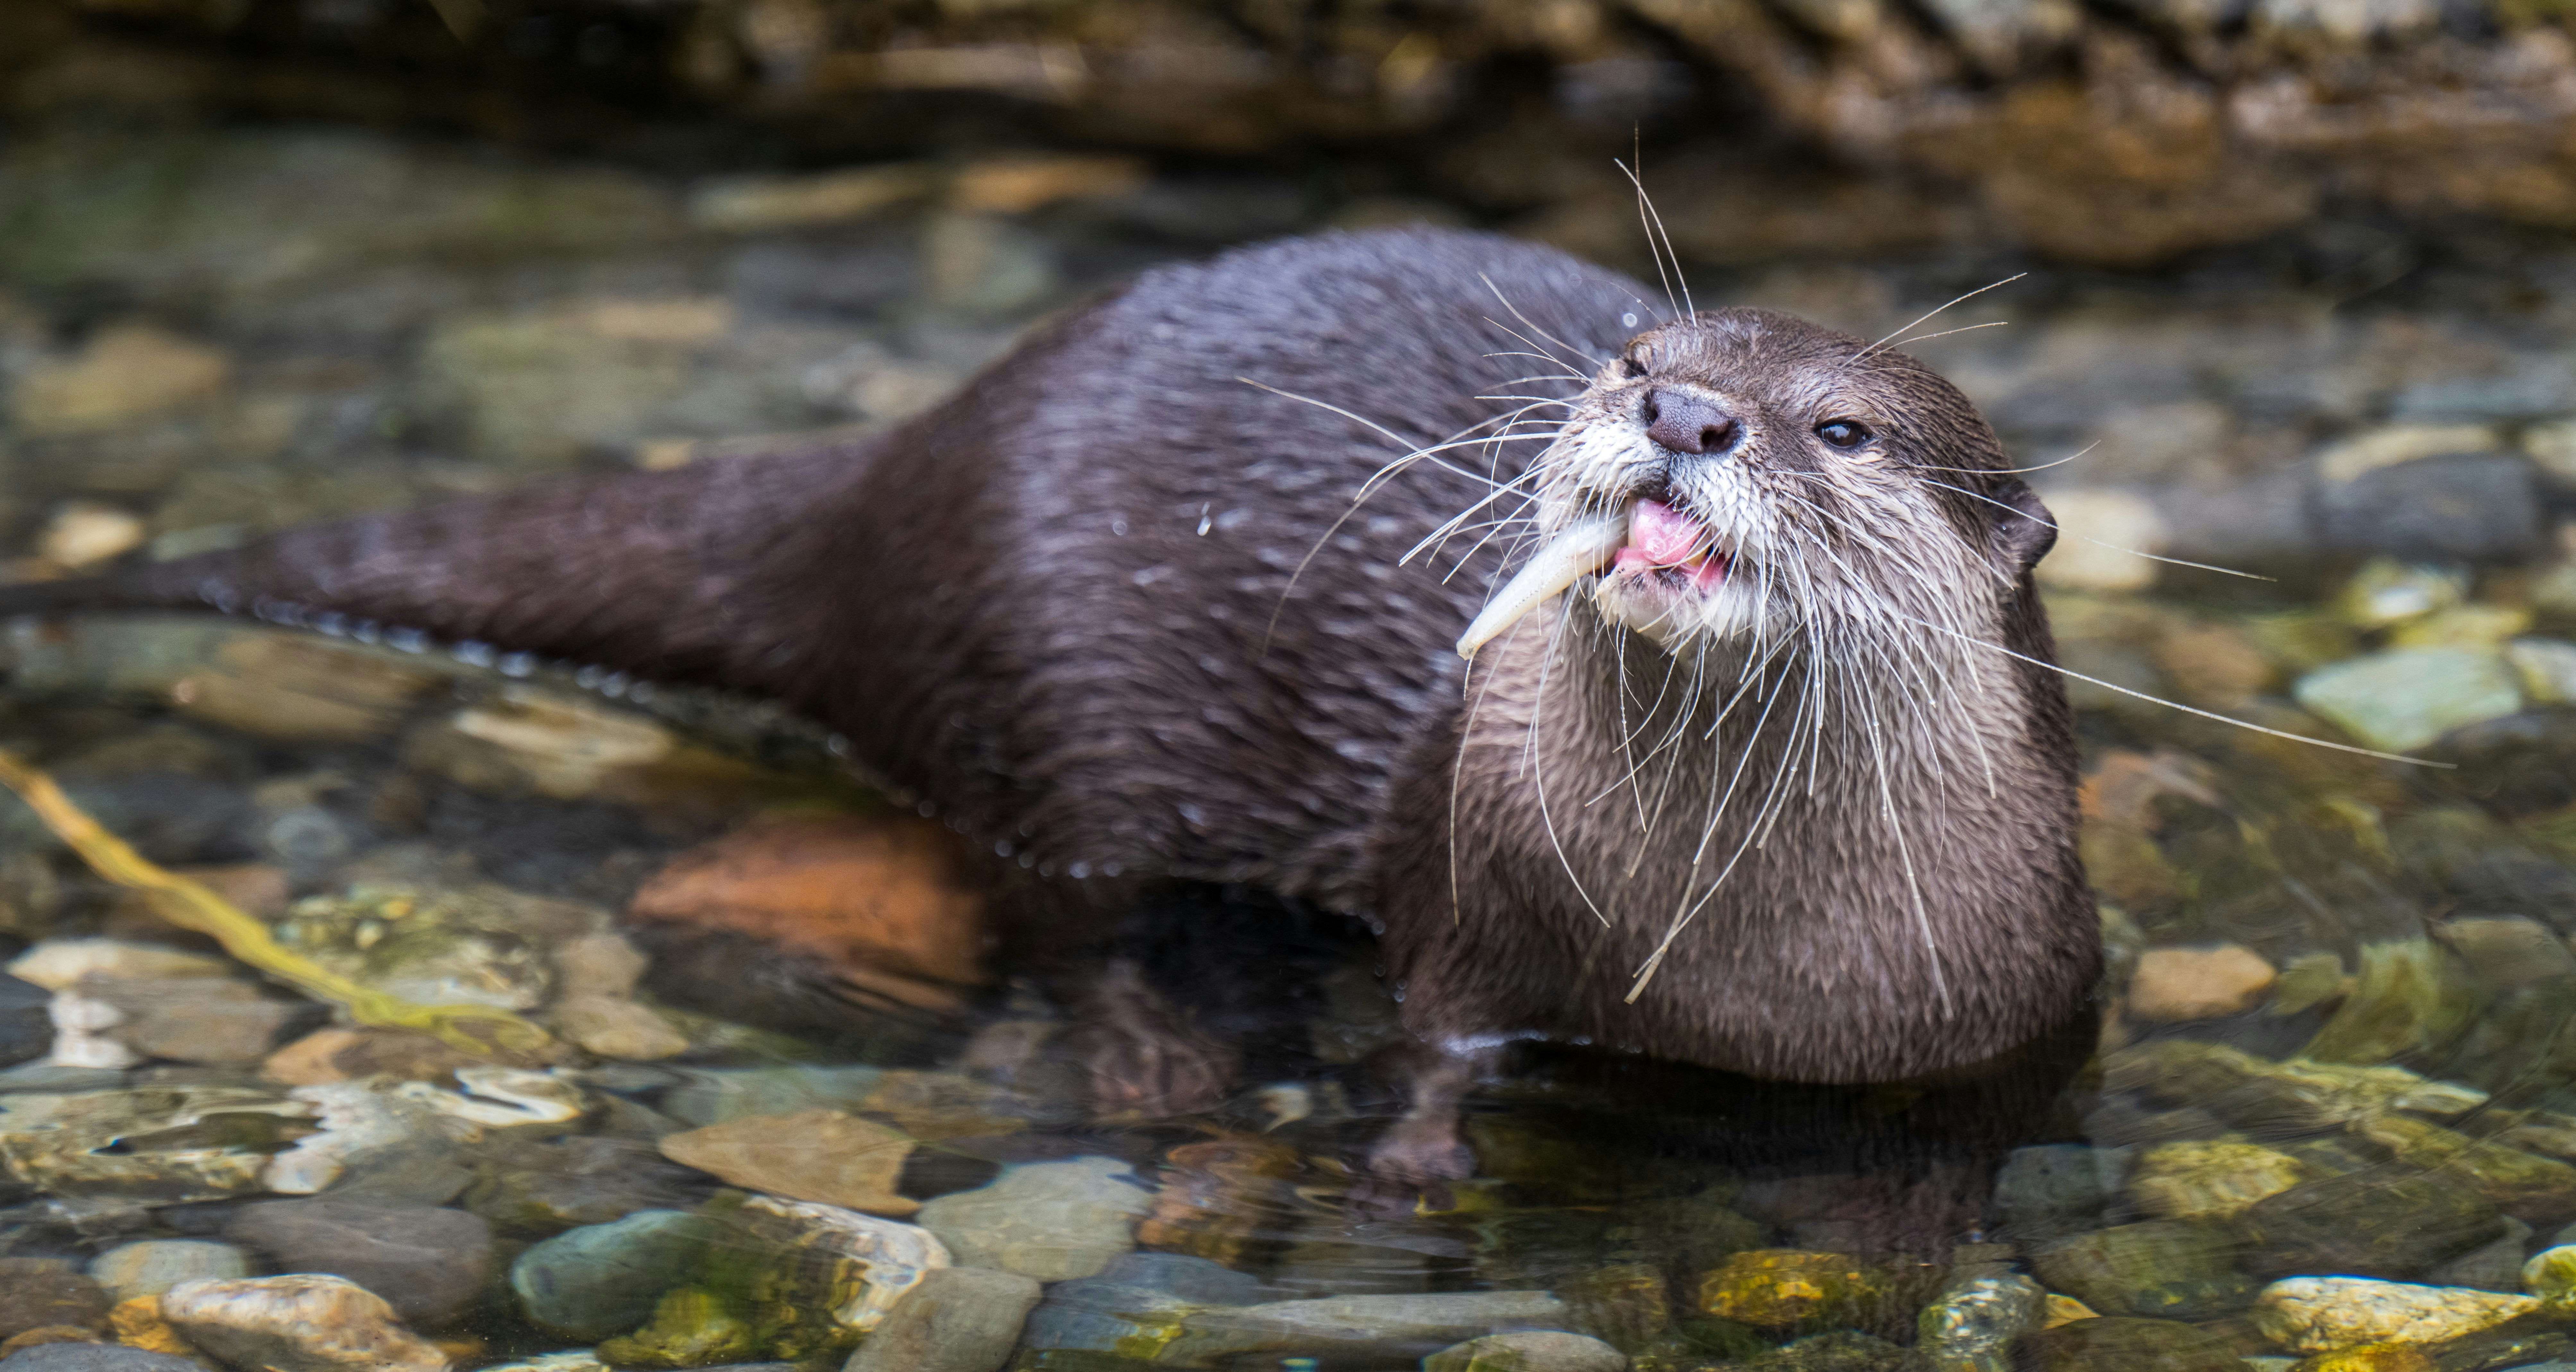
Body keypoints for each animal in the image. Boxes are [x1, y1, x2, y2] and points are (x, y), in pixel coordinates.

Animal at [0, 229, 2098, 1200]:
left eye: (1840, 426)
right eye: (1632, 352)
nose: (1681, 409)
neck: (1725, 965)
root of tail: (906, 467)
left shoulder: (2009, 1014)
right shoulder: (1462, 888)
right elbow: (1431, 1036)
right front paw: (1411, 1167)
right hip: (1040, 703)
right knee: (1063, 913)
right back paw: (1161, 1066)